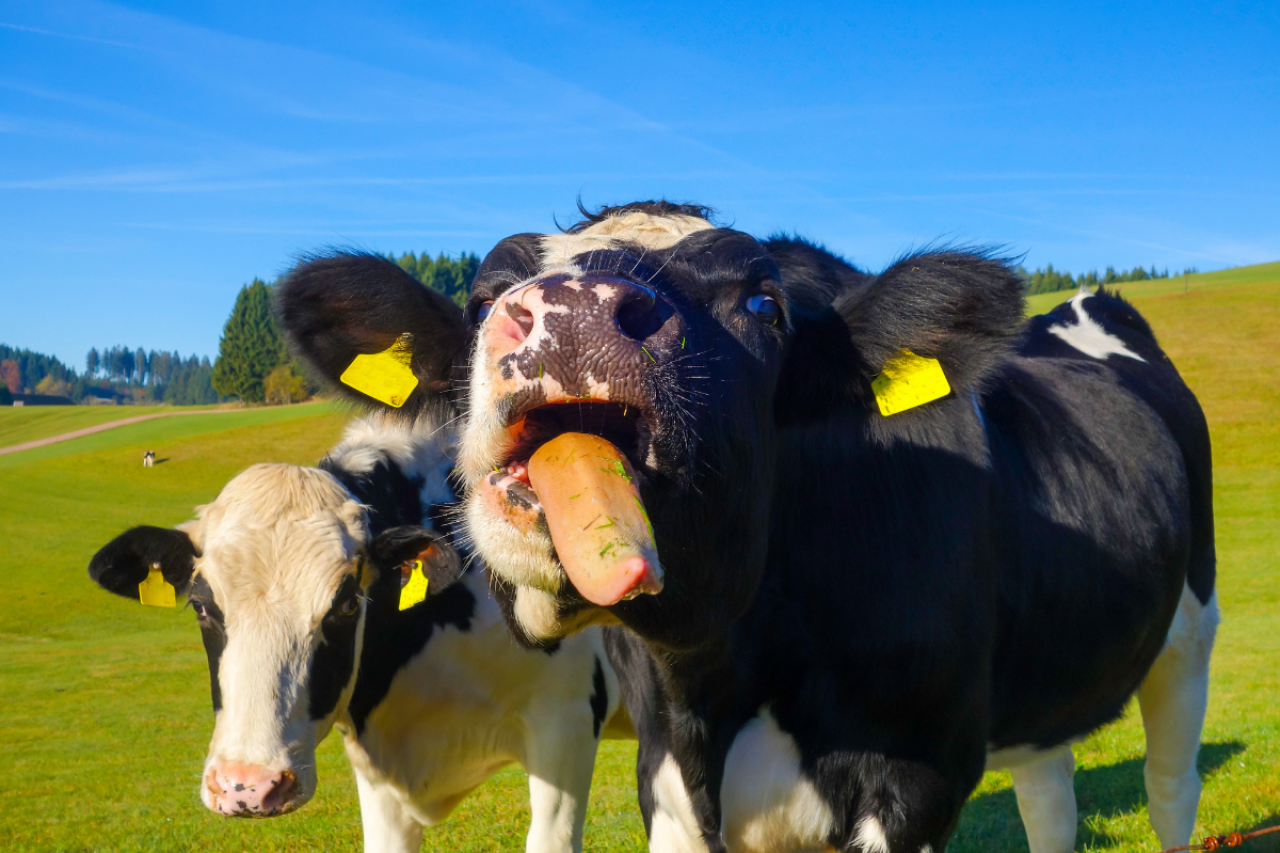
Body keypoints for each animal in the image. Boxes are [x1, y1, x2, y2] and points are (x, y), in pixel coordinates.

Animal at [275, 201, 1213, 850]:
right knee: (1051, 793)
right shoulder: (667, 776)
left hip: (1189, 641)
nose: (569, 312)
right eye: (479, 301)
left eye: (764, 304)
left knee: (1171, 788)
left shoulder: (921, 773)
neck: (732, 672)